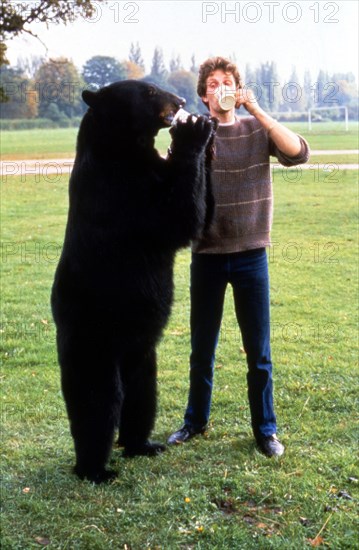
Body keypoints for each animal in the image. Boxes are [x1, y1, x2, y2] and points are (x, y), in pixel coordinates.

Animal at [51, 80, 217, 486]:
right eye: (149, 91)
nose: (181, 101)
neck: (126, 148)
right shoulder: (121, 190)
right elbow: (174, 220)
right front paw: (192, 132)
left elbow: (200, 216)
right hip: (94, 346)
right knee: (97, 405)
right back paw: (96, 470)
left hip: (143, 359)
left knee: (141, 399)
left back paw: (143, 445)